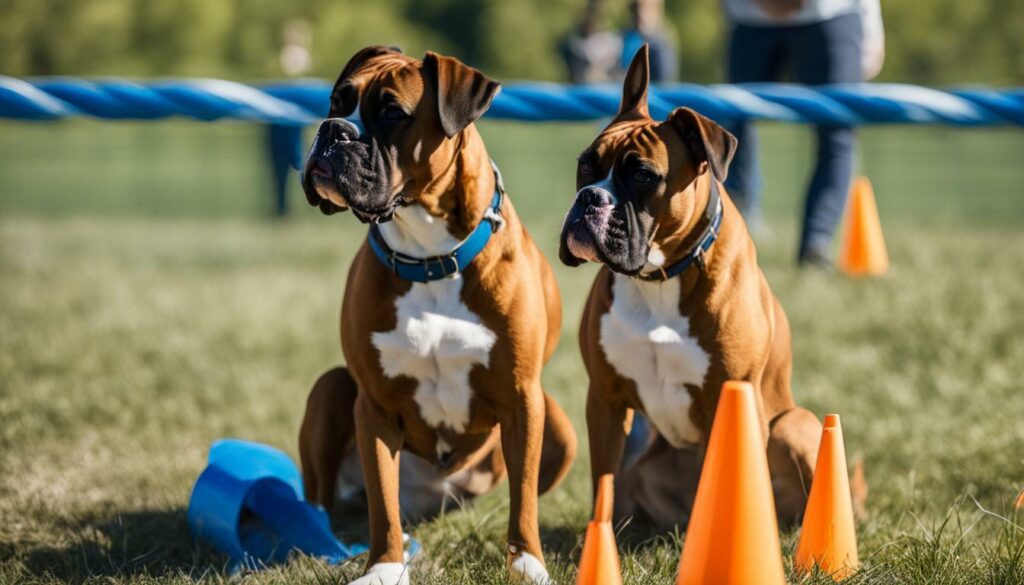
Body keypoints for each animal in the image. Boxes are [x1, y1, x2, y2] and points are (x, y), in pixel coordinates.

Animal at [299, 48, 581, 585]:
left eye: (392, 112)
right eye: (336, 101)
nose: (332, 131)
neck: (429, 255)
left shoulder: (523, 400)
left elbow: (524, 500)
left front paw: (527, 563)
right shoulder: (374, 407)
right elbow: (383, 505)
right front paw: (385, 567)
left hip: (559, 424)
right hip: (330, 387)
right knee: (327, 499)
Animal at [561, 45, 823, 532]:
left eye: (643, 175)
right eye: (585, 164)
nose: (590, 198)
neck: (659, 277)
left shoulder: (735, 399)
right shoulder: (605, 402)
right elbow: (602, 484)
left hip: (795, 424)